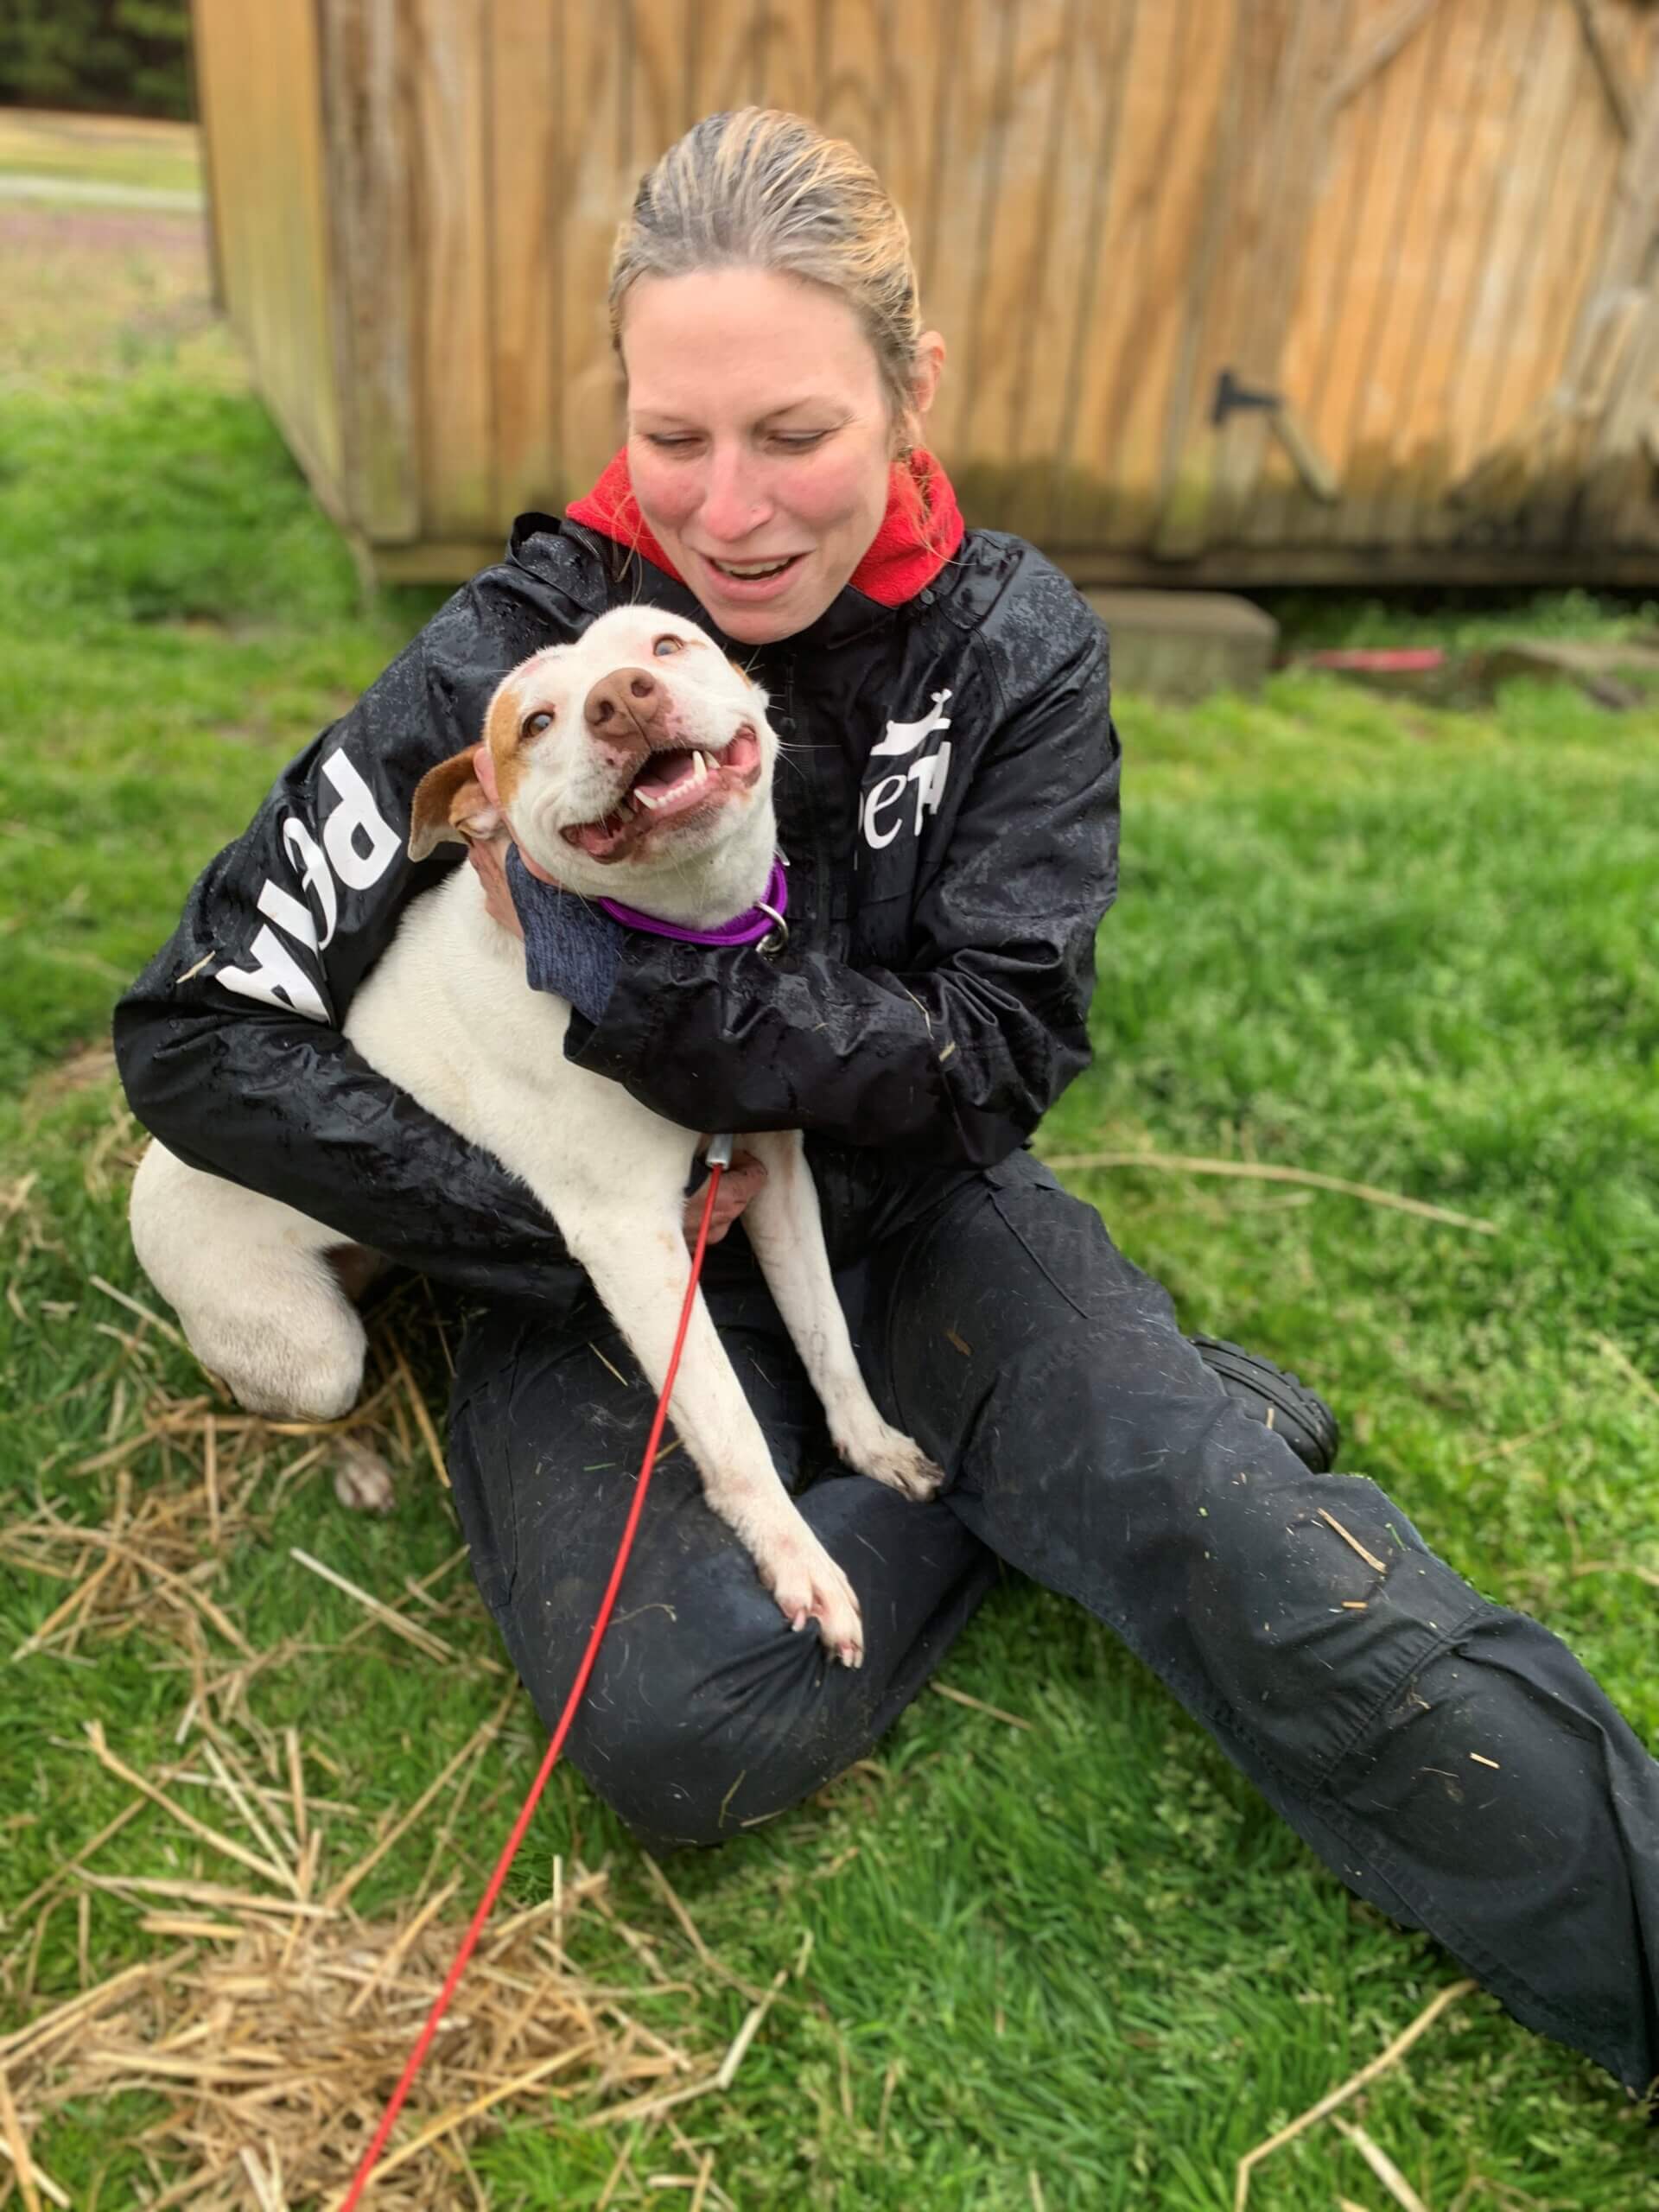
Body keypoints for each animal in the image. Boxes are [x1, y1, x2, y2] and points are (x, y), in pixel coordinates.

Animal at [130, 606, 946, 1663]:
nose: (623, 700)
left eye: (665, 646)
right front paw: (798, 1564)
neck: (691, 958)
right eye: (536, 723)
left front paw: (871, 1445)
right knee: (274, 1399)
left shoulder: (775, 1167)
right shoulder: (633, 1242)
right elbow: (729, 1423)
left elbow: (827, 1335)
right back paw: (355, 1464)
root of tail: (142, 1180)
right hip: (313, 1356)